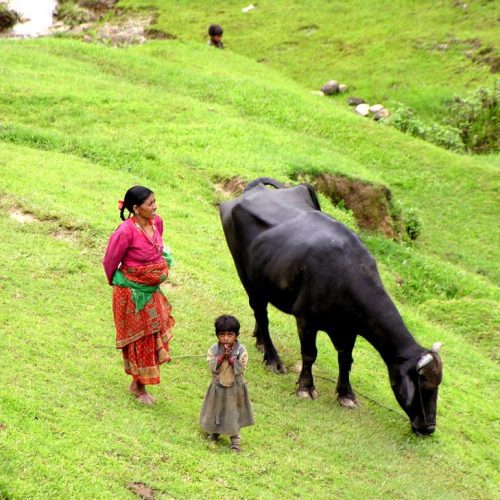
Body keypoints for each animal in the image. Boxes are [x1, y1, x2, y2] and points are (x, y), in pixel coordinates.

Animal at [219, 179, 442, 434]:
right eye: (424, 386)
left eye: (438, 385)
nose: (429, 427)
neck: (344, 276)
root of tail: (253, 190)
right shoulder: (306, 320)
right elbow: (309, 354)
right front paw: (305, 387)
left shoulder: (348, 329)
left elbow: (346, 359)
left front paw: (346, 394)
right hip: (246, 276)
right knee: (261, 313)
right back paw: (273, 359)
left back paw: (260, 342)